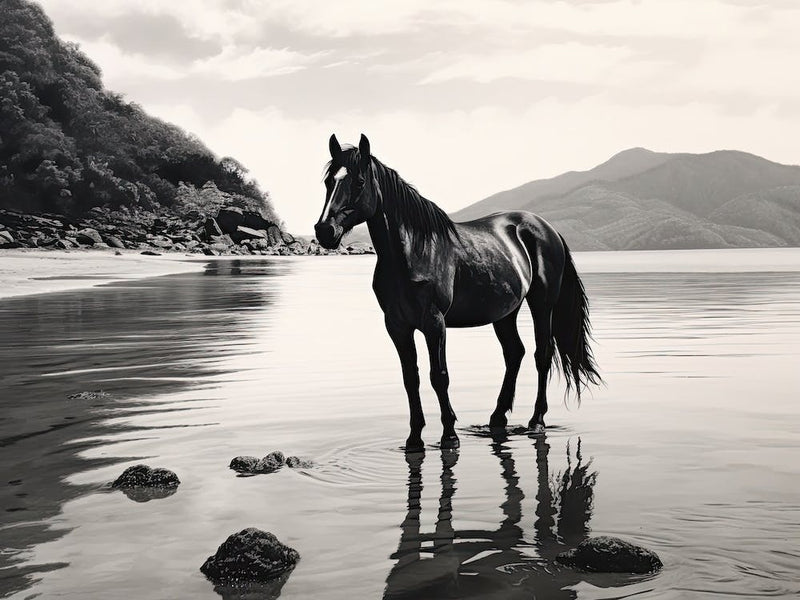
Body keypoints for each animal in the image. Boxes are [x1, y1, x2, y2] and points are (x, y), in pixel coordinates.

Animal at [314, 134, 600, 451]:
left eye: (360, 181)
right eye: (328, 181)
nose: (324, 231)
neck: (412, 252)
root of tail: (546, 228)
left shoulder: (434, 323)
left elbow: (439, 376)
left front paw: (449, 435)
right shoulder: (397, 326)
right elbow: (410, 378)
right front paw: (414, 439)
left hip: (542, 304)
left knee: (542, 354)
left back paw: (536, 420)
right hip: (505, 313)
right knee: (514, 353)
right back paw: (497, 417)